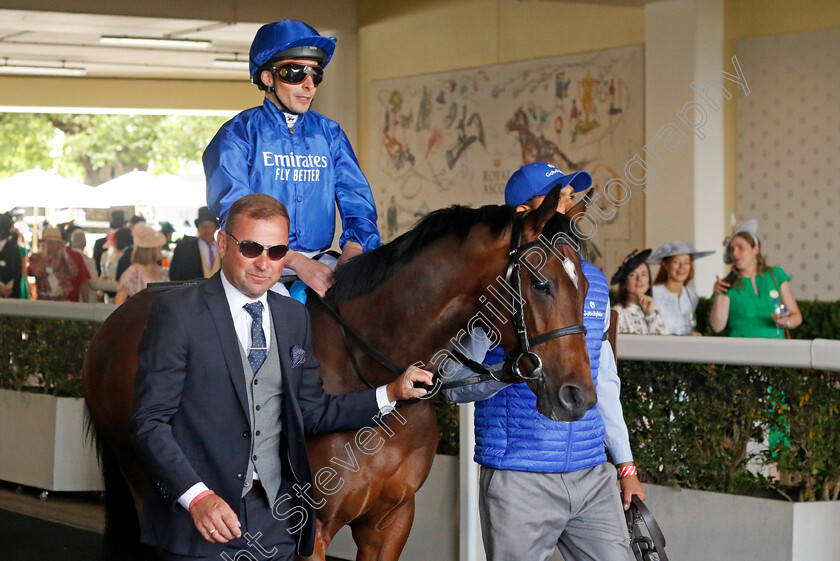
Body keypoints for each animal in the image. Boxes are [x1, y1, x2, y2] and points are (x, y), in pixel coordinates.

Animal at [82, 189, 592, 560]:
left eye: (585, 284)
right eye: (541, 283)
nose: (578, 397)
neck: (365, 371)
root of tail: (114, 323)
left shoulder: (391, 521)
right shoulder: (311, 529)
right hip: (145, 479)